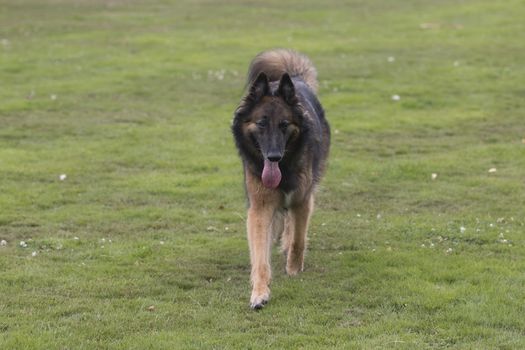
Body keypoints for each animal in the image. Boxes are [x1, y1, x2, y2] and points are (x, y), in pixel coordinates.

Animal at [232, 47, 330, 308]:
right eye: (261, 123)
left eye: (284, 124)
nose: (274, 156)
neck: (284, 166)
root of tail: (294, 77)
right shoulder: (260, 207)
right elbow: (259, 256)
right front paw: (259, 293)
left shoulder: (302, 199)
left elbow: (298, 240)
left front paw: (293, 269)